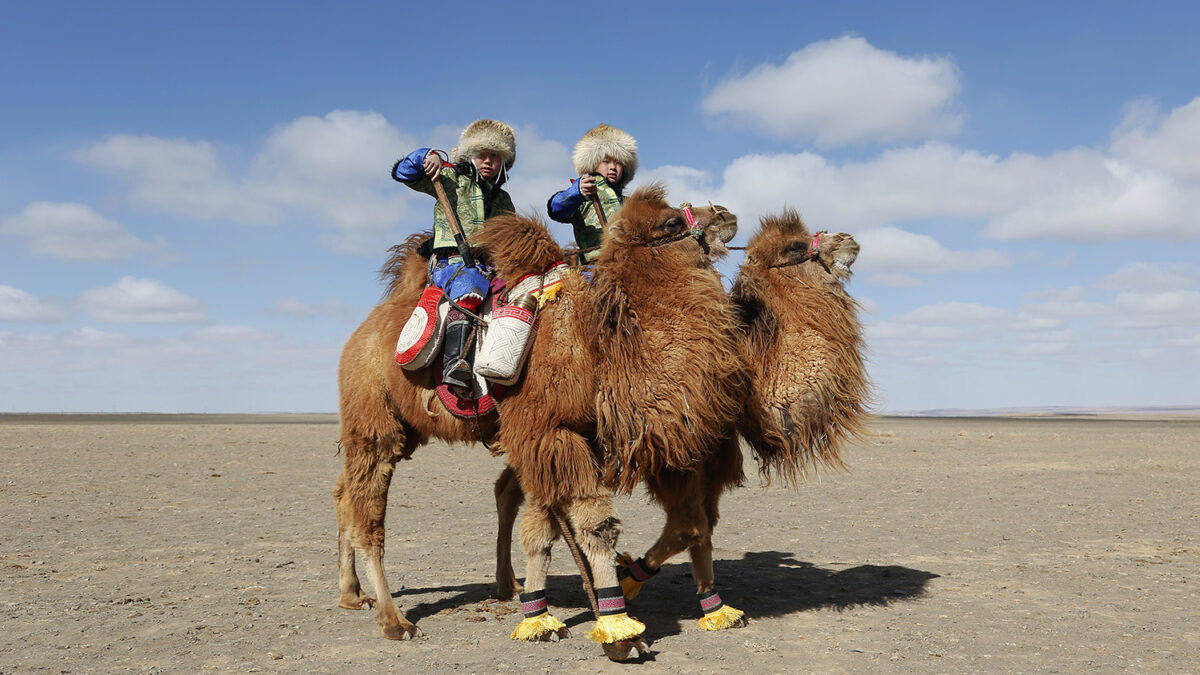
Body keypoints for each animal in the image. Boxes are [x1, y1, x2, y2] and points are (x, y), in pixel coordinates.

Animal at [333, 184, 734, 658]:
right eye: (672, 222)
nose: (725, 214)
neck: (593, 346)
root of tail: (363, 332)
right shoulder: (549, 431)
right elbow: (595, 527)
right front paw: (618, 630)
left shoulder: (562, 438)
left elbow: (545, 528)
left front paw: (547, 614)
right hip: (373, 421)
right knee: (367, 514)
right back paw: (394, 620)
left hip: (402, 428)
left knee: (345, 493)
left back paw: (354, 594)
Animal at [492, 207, 868, 629]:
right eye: (795, 246)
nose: (848, 239)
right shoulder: (559, 431)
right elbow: (584, 525)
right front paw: (607, 610)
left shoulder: (696, 449)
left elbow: (695, 526)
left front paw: (705, 603)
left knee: (508, 491)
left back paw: (509, 585)